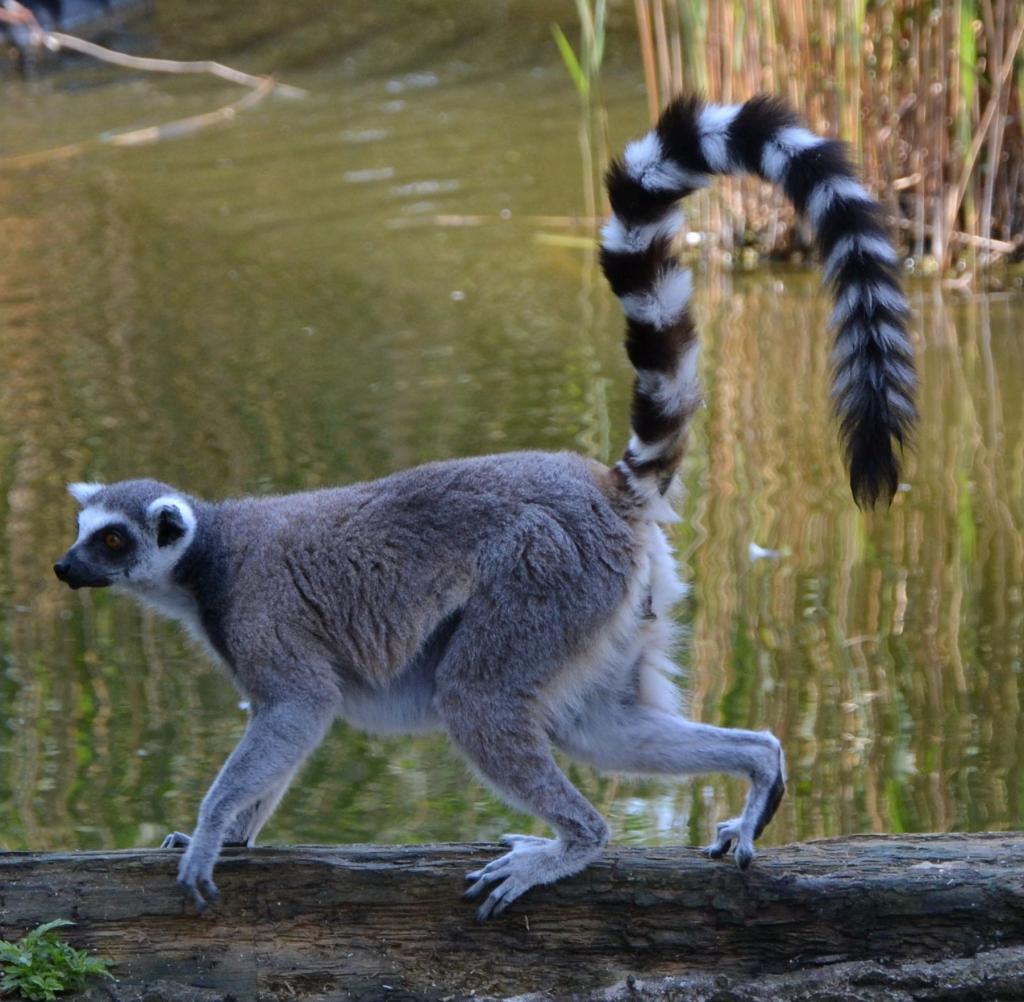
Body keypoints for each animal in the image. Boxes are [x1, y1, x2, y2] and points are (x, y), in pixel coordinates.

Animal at [53, 95, 915, 921]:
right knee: (600, 726)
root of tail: (604, 490)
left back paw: (567, 846)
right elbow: (287, 733)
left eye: (113, 542)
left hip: (545, 576)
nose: (63, 567)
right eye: (83, 534)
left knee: (476, 699)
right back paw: (757, 769)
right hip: (604, 615)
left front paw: (210, 835)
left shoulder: (263, 616)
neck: (208, 559)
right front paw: (232, 835)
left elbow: (297, 711)